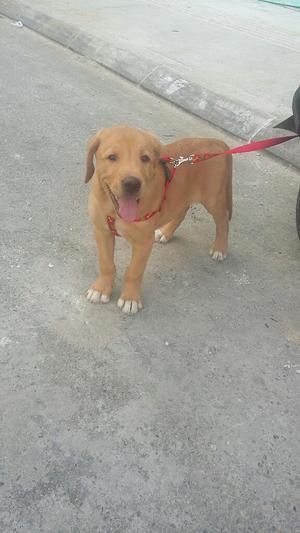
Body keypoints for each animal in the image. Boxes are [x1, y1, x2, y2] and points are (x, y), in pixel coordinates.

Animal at [84, 124, 232, 312]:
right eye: (112, 157)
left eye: (145, 158)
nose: (132, 184)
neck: (114, 211)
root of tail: (217, 142)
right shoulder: (102, 231)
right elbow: (105, 263)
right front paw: (101, 288)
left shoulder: (143, 243)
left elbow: (134, 271)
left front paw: (130, 298)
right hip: (182, 196)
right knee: (182, 211)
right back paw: (165, 233)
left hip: (212, 199)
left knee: (223, 220)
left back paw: (220, 248)